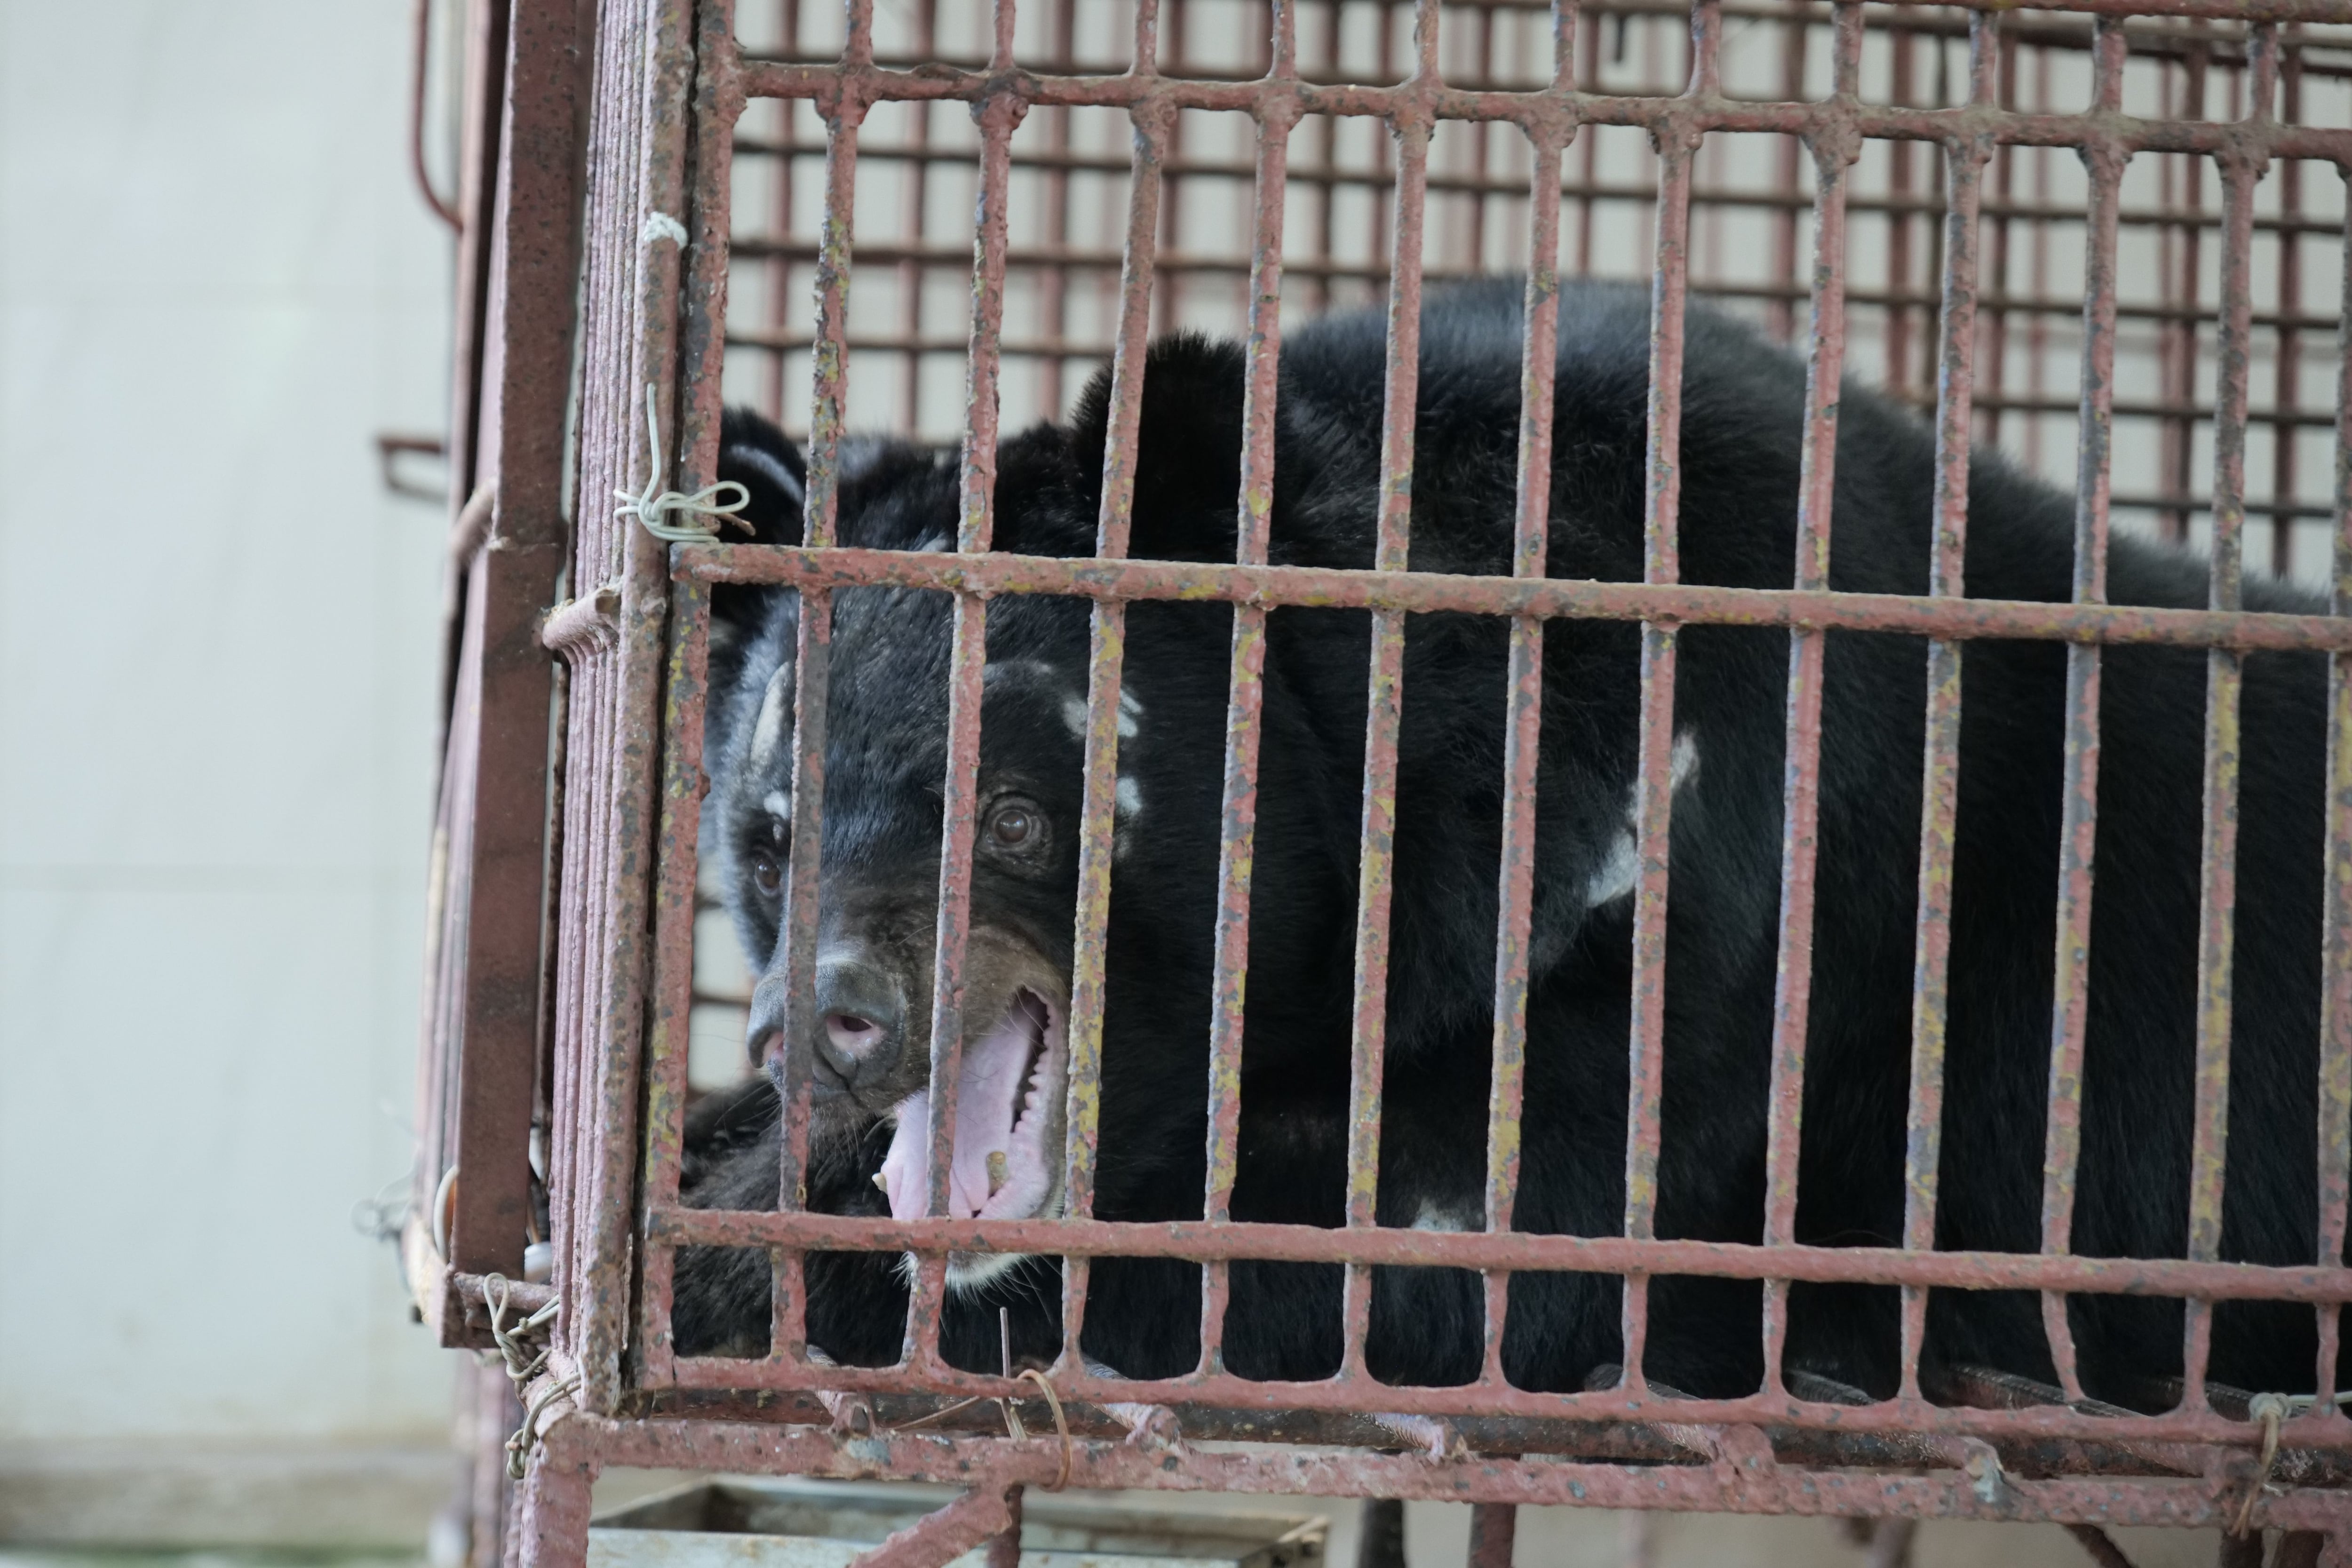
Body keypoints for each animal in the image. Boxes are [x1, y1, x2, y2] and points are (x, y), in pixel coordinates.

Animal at [673, 272, 2343, 1410]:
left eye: (1019, 816)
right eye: (769, 842)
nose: (820, 1023)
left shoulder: (1707, 899)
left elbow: (1458, 1241)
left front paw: (719, 1268)